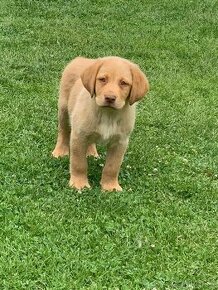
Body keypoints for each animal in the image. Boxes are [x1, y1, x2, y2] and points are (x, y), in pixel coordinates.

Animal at [52, 56, 149, 191]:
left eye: (123, 83)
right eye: (102, 79)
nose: (110, 98)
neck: (108, 114)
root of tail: (81, 58)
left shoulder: (120, 142)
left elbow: (112, 167)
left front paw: (110, 187)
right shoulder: (78, 136)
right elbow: (79, 163)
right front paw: (79, 184)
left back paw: (91, 153)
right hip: (63, 109)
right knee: (63, 131)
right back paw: (59, 151)